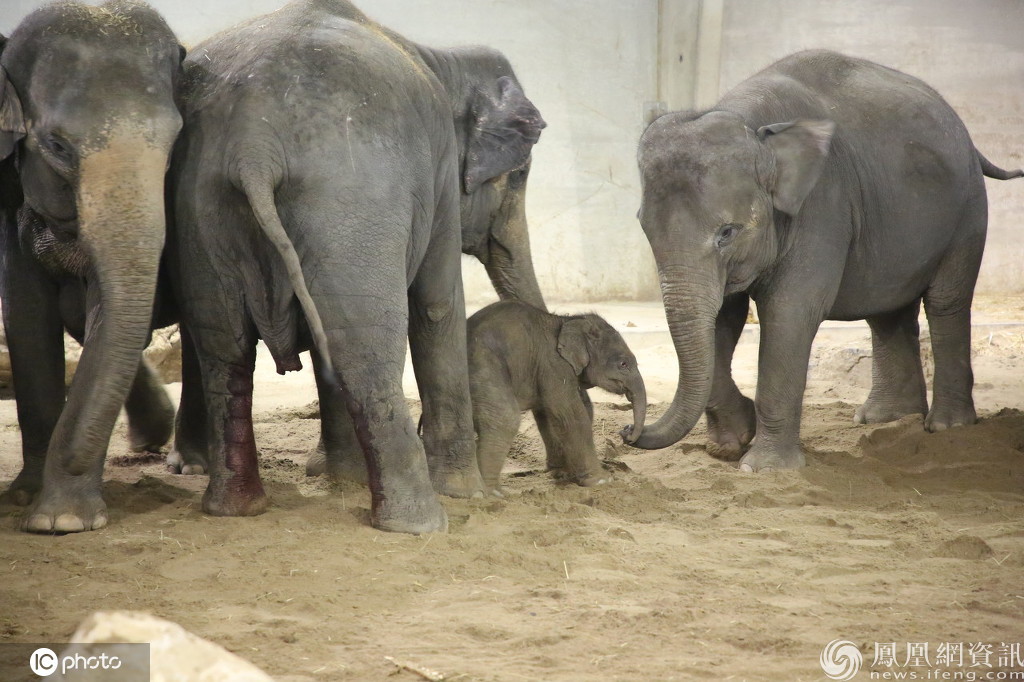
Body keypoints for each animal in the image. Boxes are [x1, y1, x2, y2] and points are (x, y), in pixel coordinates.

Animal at [1, 1, 184, 532]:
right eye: (58, 146)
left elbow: (103, 314)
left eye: (176, 142)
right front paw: (31, 502)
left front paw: (61, 519)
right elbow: (27, 318)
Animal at [164, 0, 548, 532]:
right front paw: (465, 494)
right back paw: (421, 522)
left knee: (226, 344)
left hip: (203, 208)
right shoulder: (438, 176)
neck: (440, 57)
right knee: (365, 342)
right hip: (353, 199)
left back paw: (236, 507)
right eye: (520, 176)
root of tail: (254, 144)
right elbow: (437, 305)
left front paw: (336, 476)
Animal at [466, 301, 643, 493]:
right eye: (623, 364)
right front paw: (603, 481)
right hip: (484, 370)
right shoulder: (554, 365)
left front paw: (563, 474)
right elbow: (571, 414)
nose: (628, 434)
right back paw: (494, 492)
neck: (565, 320)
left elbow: (548, 414)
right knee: (505, 419)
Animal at [626, 50, 1019, 471]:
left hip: (968, 210)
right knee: (887, 309)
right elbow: (721, 317)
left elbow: (790, 311)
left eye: (727, 232)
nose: (628, 431)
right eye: (643, 226)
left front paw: (762, 467)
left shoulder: (823, 205)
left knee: (946, 302)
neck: (755, 127)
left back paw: (947, 426)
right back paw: (887, 419)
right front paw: (732, 444)